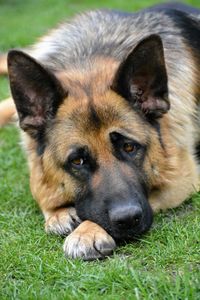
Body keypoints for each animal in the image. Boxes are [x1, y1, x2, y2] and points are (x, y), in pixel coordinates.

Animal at [0, 2, 199, 260]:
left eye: (129, 147)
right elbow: (39, 187)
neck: (89, 56)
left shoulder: (182, 177)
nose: (128, 219)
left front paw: (86, 231)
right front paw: (59, 212)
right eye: (77, 161)